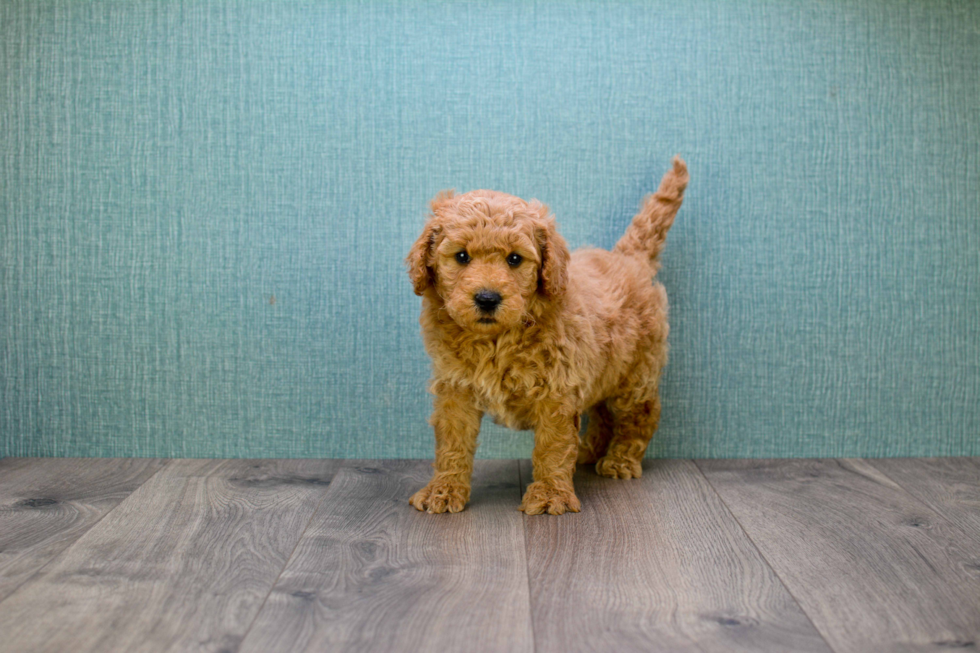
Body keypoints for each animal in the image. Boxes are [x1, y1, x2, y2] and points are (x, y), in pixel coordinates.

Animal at [406, 158, 688, 516]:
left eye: (514, 259)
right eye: (461, 256)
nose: (487, 298)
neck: (496, 339)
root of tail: (627, 257)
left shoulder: (558, 390)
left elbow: (553, 446)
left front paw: (550, 494)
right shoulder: (456, 389)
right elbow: (452, 442)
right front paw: (443, 490)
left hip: (636, 373)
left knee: (641, 415)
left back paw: (620, 460)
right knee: (601, 413)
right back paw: (588, 451)